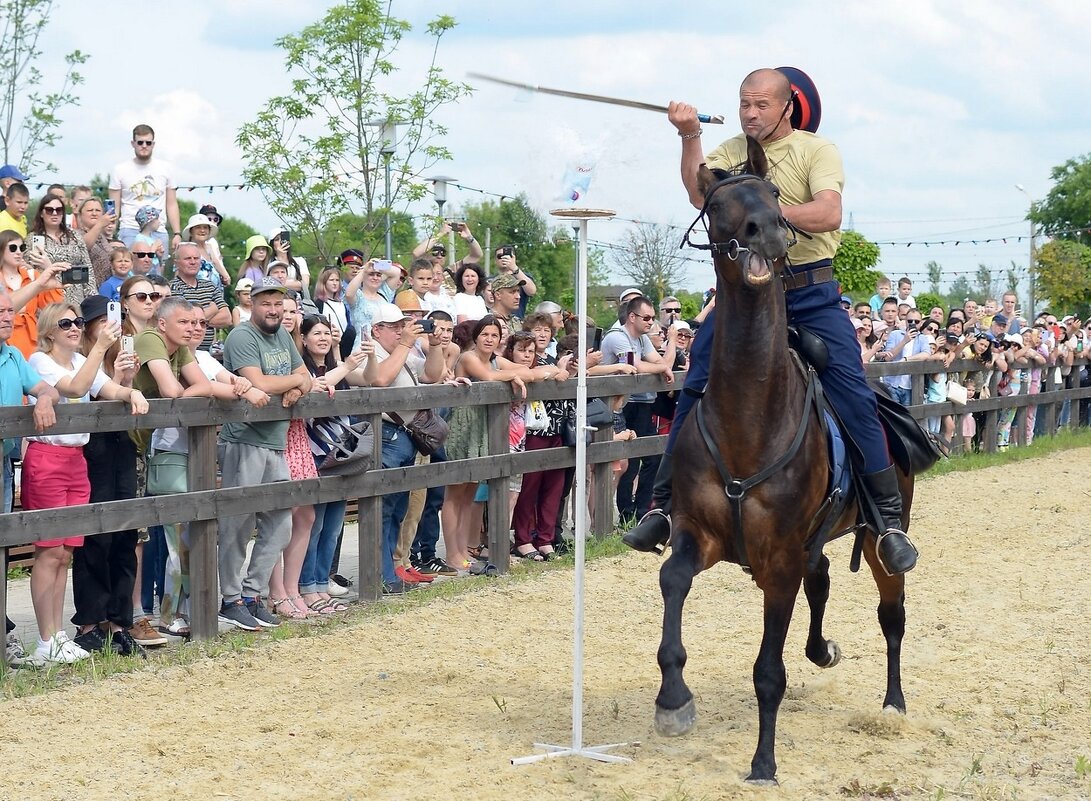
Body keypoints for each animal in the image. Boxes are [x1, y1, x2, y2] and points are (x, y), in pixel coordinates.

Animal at [654, 136, 912, 785]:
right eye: (716, 202)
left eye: (773, 193)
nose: (768, 231)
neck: (751, 417)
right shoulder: (702, 535)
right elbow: (672, 581)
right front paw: (673, 700)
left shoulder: (778, 564)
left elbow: (769, 672)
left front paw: (763, 763)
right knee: (823, 581)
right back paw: (823, 650)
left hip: (876, 539)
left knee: (892, 616)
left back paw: (894, 702)